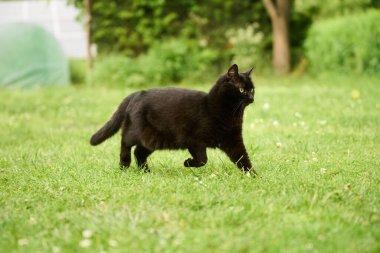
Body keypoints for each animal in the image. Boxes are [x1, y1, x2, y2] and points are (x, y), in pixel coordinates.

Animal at [89, 63, 256, 174]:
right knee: (125, 141)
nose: (252, 98)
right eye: (242, 89)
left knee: (139, 152)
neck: (229, 112)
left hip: (152, 139)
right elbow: (202, 159)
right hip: (136, 131)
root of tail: (136, 93)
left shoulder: (233, 140)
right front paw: (187, 163)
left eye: (252, 89)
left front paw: (253, 176)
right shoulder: (195, 141)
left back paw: (146, 171)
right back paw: (124, 164)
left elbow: (243, 159)